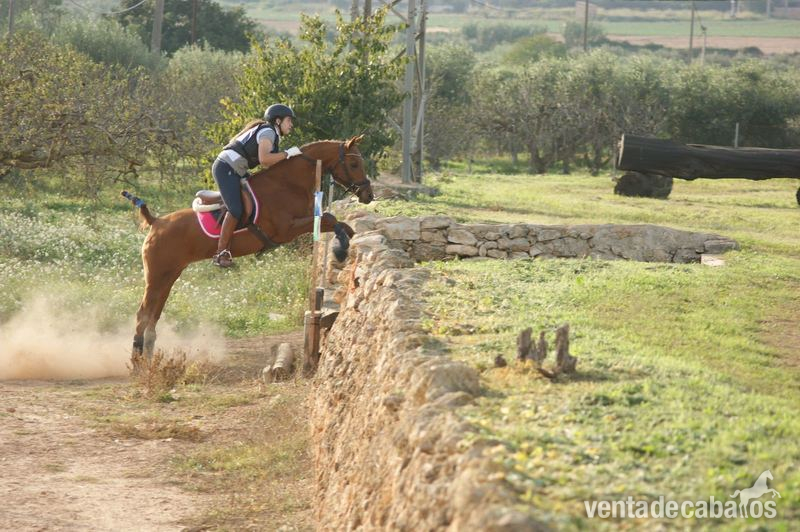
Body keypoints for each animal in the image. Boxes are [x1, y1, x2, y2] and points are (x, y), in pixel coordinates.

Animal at [122, 135, 373, 359]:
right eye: (354, 164)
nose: (368, 195)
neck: (287, 184)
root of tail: (156, 222)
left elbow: (340, 224)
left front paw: (352, 246)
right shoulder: (287, 230)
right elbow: (330, 218)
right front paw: (341, 249)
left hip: (169, 276)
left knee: (153, 315)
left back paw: (148, 356)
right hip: (157, 276)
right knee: (142, 314)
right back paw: (137, 360)